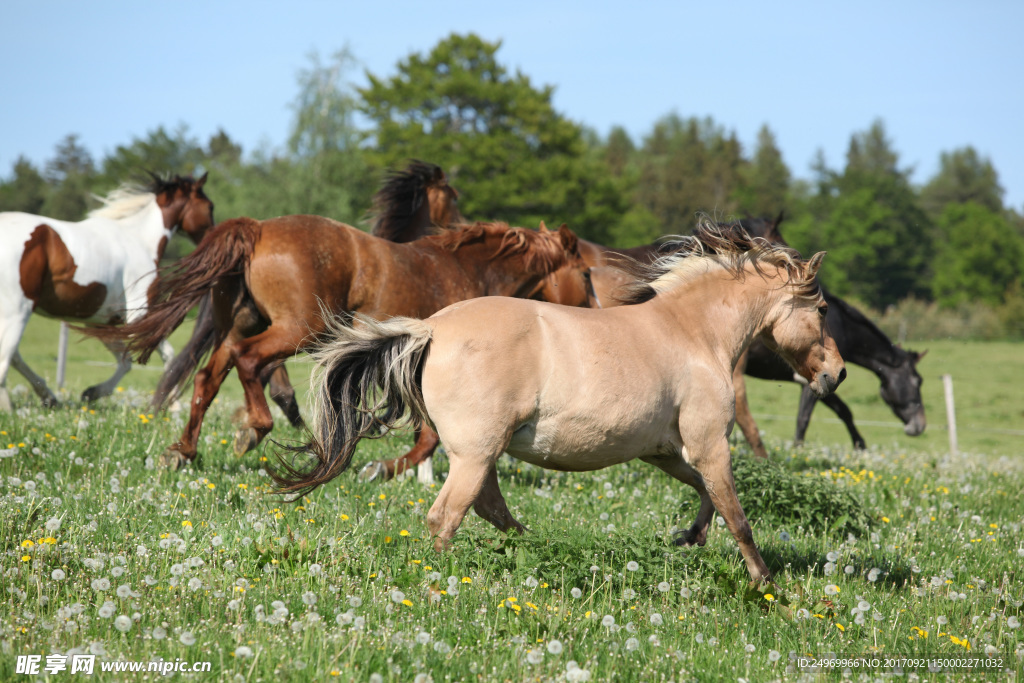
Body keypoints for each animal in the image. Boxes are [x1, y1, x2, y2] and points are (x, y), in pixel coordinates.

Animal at [1, 176, 214, 411]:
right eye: (209, 206)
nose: (213, 235)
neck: (139, 239)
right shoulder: (139, 316)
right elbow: (168, 355)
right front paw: (172, 406)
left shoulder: (101, 322)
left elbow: (125, 362)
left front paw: (91, 393)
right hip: (18, 312)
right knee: (7, 357)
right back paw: (11, 407)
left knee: (14, 356)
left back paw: (48, 396)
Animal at [95, 216, 598, 466]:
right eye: (588, 274)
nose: (593, 312)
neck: (468, 270)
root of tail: (257, 228)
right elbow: (429, 437)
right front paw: (386, 467)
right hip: (297, 331)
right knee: (249, 362)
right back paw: (253, 429)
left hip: (240, 325)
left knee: (208, 377)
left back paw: (183, 451)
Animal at [276, 223, 843, 581]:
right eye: (821, 309)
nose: (835, 374)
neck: (694, 334)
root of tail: (431, 329)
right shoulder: (709, 445)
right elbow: (737, 516)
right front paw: (764, 583)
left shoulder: (667, 452)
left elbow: (707, 498)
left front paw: (690, 539)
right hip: (476, 453)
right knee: (448, 516)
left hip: (483, 453)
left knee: (490, 508)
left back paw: (537, 546)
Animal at [729, 216, 929, 456]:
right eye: (917, 381)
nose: (920, 425)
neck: (840, 326)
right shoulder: (814, 381)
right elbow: (807, 418)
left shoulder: (824, 379)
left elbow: (843, 411)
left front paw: (860, 447)